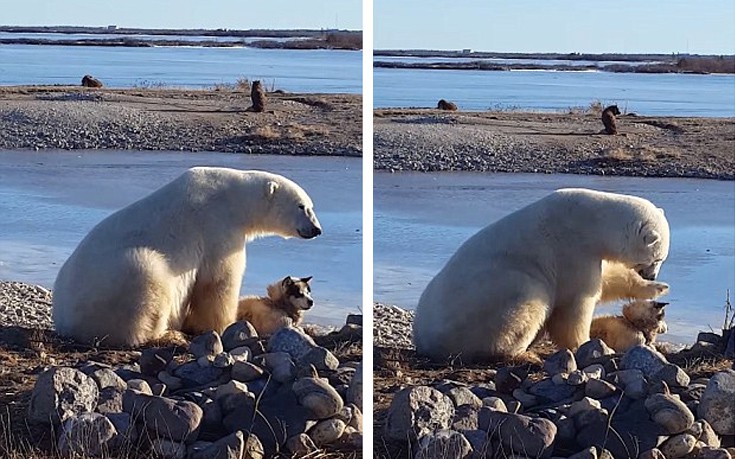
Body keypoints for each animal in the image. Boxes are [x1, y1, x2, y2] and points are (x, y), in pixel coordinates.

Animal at [51, 167, 322, 346]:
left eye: (311, 206)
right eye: (301, 206)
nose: (316, 230)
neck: (234, 198)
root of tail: (63, 320)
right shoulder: (217, 226)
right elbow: (219, 281)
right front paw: (223, 325)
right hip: (118, 279)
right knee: (146, 279)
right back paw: (167, 334)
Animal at [414, 189, 672, 362]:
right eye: (656, 259)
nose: (651, 275)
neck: (591, 219)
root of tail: (422, 339)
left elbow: (609, 278)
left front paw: (658, 288)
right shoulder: (571, 248)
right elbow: (576, 301)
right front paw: (585, 344)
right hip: (486, 302)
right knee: (528, 299)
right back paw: (519, 353)